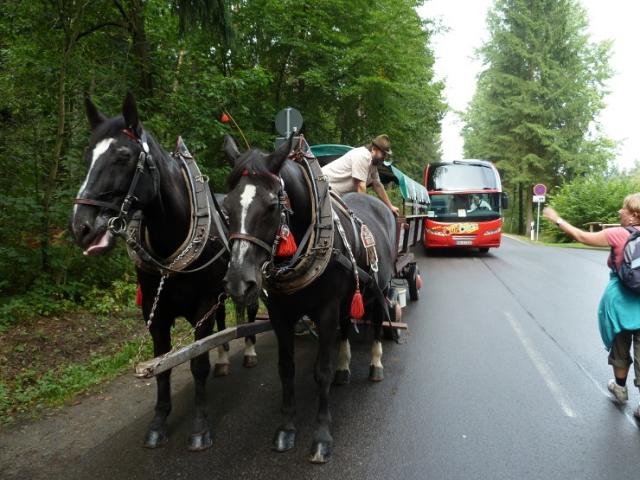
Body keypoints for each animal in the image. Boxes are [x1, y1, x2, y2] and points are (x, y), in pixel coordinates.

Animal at [69, 94, 258, 450]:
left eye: (123, 156)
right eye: (87, 156)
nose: (81, 227)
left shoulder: (202, 305)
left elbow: (197, 362)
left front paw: (199, 427)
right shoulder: (154, 312)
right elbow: (162, 366)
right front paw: (158, 422)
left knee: (250, 315)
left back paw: (250, 351)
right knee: (223, 322)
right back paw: (224, 359)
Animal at [222, 134, 398, 462]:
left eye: (271, 206)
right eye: (226, 207)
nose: (239, 282)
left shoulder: (326, 310)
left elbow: (321, 371)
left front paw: (321, 436)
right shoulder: (280, 315)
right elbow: (286, 369)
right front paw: (287, 428)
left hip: (379, 286)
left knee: (379, 318)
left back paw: (375, 364)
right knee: (347, 325)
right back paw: (344, 367)